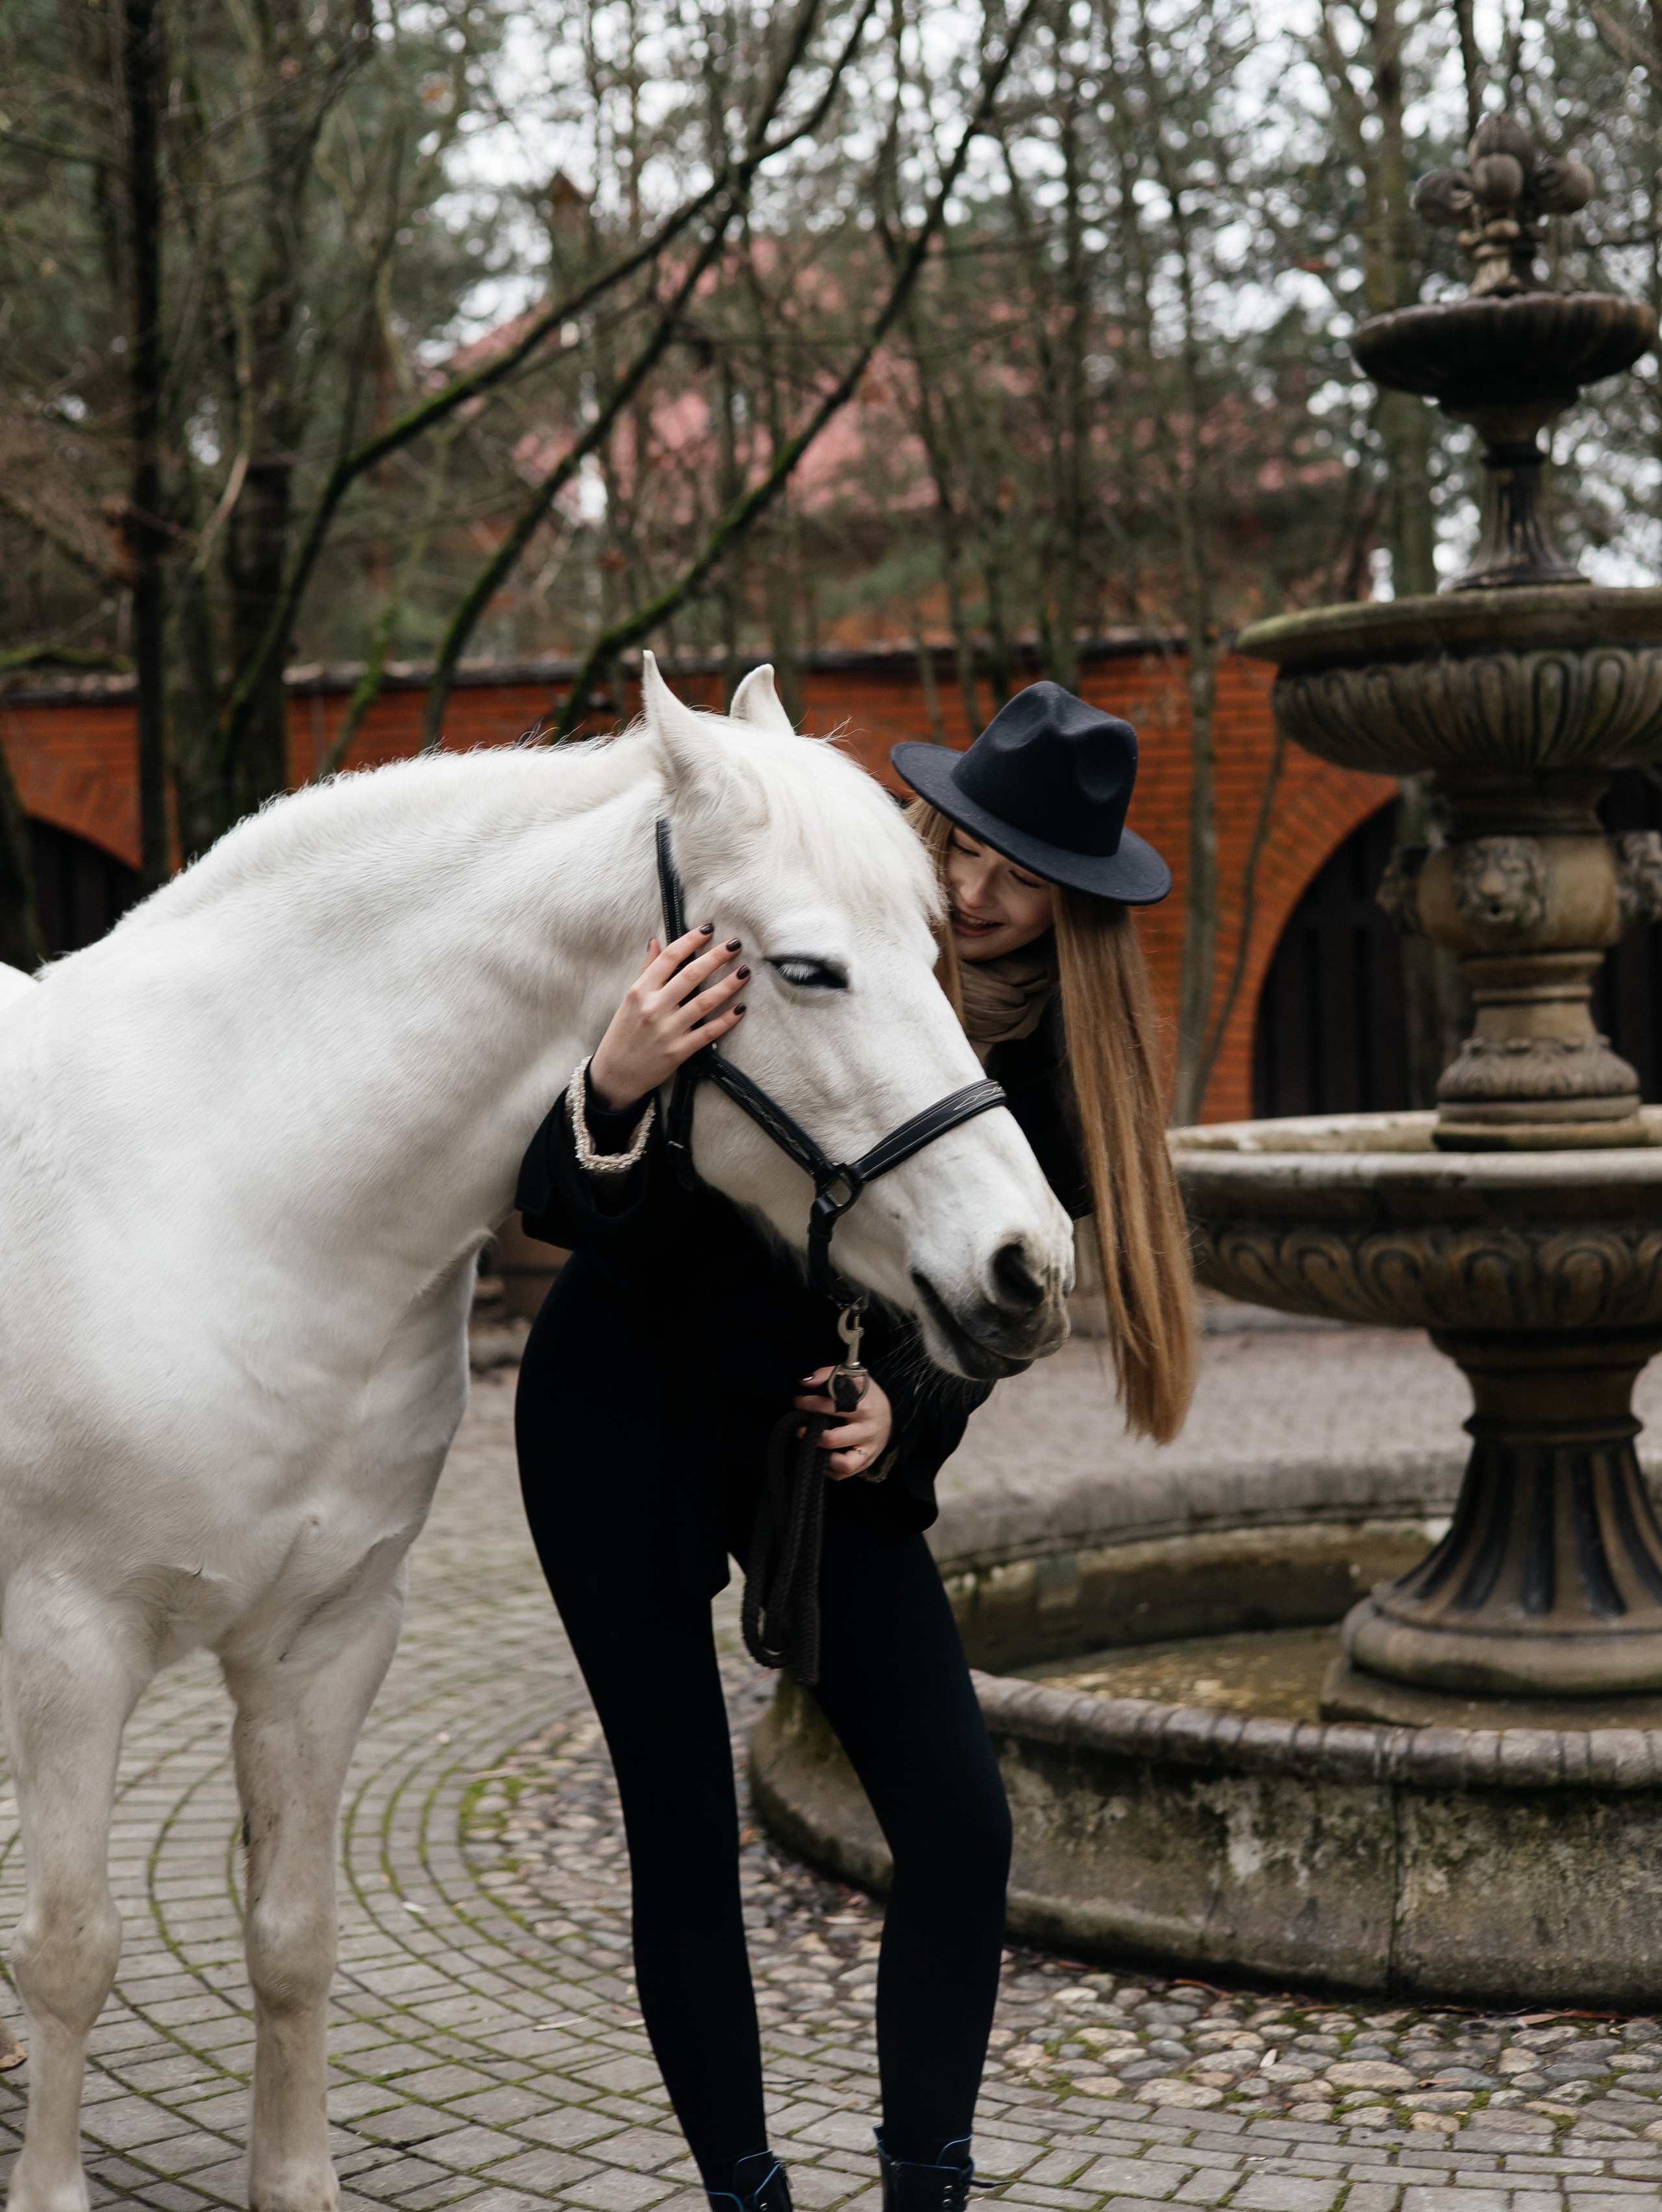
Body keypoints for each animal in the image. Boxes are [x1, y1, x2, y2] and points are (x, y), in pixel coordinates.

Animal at [0, 657, 1073, 2212]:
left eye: (938, 951)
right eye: (809, 969)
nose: (1026, 1265)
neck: (218, 1196)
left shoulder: (324, 1641)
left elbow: (292, 1935)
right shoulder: (68, 1647)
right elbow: (71, 1950)